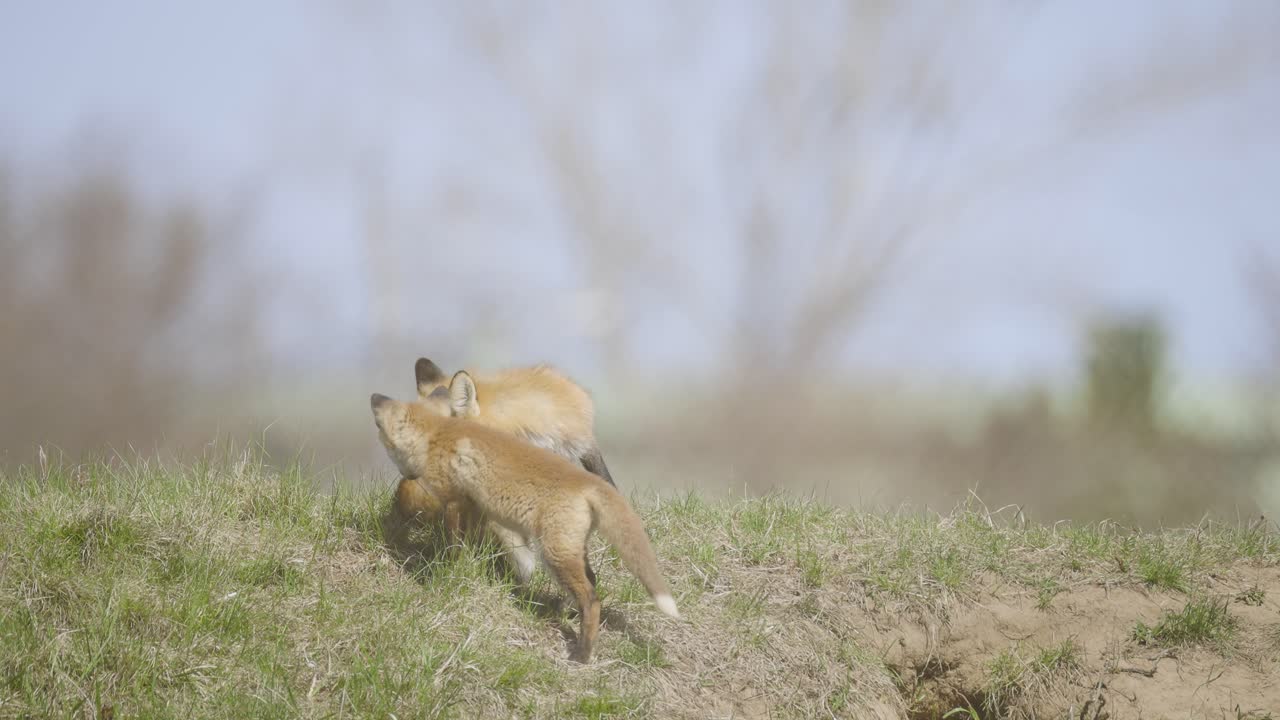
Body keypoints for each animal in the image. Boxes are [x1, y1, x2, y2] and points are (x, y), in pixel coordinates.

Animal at [370, 378, 679, 663]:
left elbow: (455, 548)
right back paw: (564, 612)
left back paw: (582, 653)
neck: (439, 435)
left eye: (380, 426)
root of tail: (589, 483)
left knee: (592, 600)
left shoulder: (455, 501)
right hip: (569, 550)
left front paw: (447, 572)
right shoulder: (476, 506)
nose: (374, 396)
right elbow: (491, 546)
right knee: (592, 580)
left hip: (555, 553)